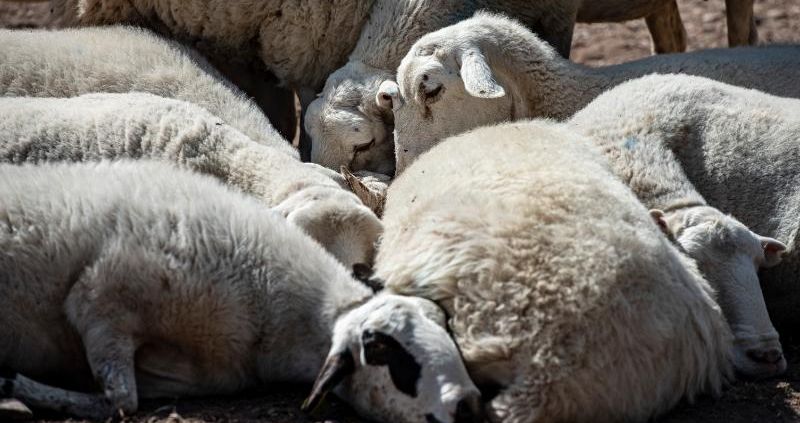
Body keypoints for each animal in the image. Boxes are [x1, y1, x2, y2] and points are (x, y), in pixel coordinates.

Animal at [0, 159, 482, 423]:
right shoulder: (101, 300)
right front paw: (18, 385)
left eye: (445, 328)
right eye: (381, 349)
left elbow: (127, 398)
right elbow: (122, 401)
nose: (469, 406)